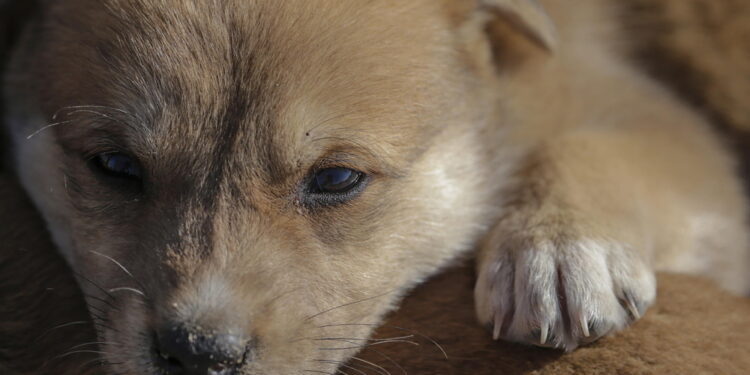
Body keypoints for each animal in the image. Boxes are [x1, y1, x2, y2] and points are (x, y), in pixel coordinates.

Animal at [1, 0, 750, 374]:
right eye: (115, 166)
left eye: (336, 178)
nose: (198, 355)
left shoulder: (652, 115)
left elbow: (602, 148)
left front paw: (560, 249)